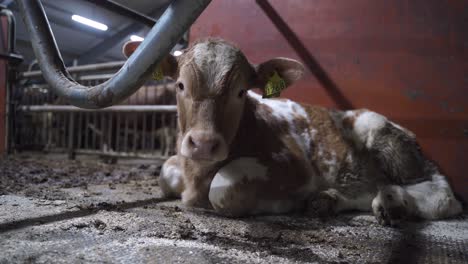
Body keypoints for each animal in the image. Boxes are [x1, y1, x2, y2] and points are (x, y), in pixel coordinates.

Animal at [122, 39, 462, 225]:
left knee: (442, 194)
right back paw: (329, 200)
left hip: (382, 134)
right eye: (180, 85)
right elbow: (166, 174)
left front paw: (281, 203)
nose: (204, 143)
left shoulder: (296, 167)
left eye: (241, 92)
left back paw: (394, 202)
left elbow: (223, 189)